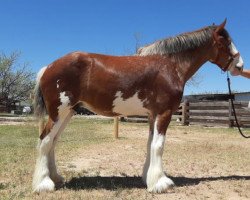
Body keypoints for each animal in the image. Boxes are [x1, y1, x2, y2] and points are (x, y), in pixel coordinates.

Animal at [32, 19, 243, 193]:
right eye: (225, 41)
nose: (240, 65)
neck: (170, 65)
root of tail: (47, 68)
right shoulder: (165, 112)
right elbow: (158, 145)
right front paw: (160, 183)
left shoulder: (152, 114)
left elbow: (150, 144)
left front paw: (148, 178)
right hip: (59, 112)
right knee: (45, 140)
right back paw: (43, 184)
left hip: (68, 112)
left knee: (52, 141)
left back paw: (55, 178)